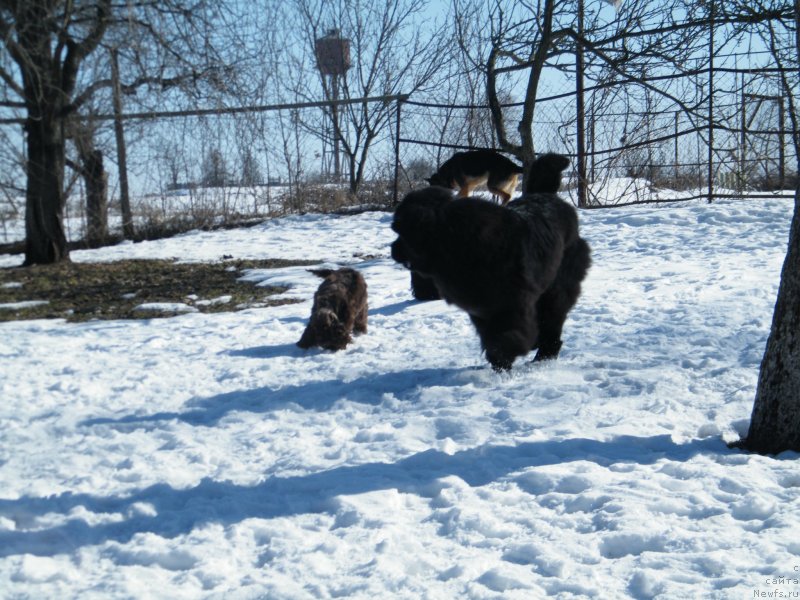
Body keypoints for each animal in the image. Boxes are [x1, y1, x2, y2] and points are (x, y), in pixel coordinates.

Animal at [390, 151, 592, 370]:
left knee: (553, 315)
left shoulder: (511, 303)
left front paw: (507, 354)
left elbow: (507, 334)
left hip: (559, 280)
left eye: (402, 232)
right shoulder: (484, 308)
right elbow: (491, 334)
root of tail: (549, 195)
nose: (393, 249)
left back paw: (545, 352)